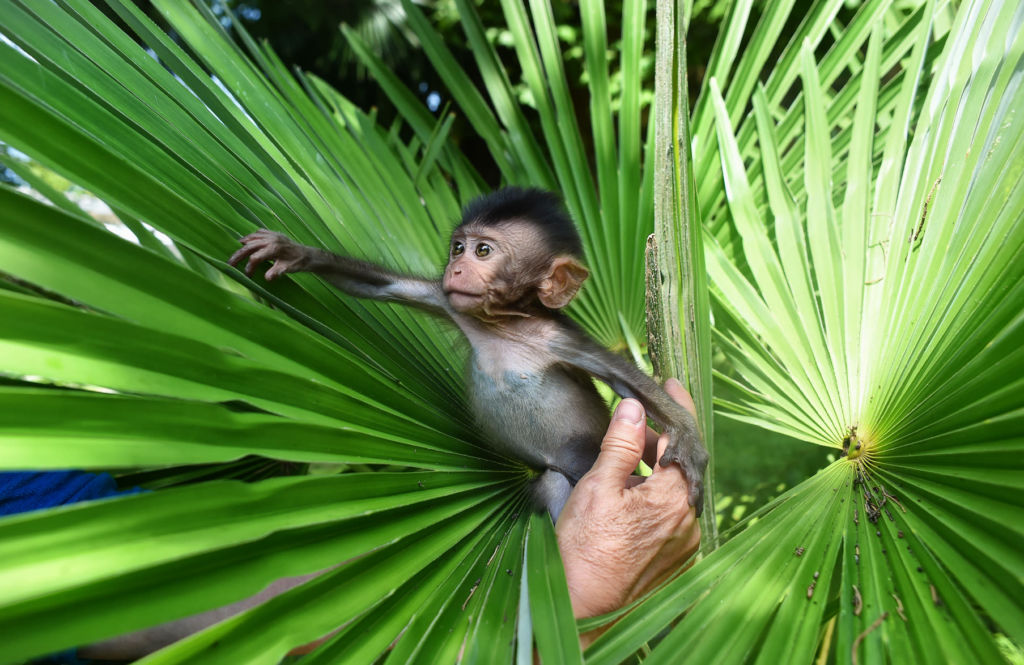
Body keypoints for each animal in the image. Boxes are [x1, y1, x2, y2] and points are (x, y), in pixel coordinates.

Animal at [229, 187, 707, 520]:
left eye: (483, 251)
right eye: (458, 247)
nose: (456, 268)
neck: (505, 326)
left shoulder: (559, 338)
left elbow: (629, 383)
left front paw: (689, 443)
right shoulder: (450, 302)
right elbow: (382, 286)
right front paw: (294, 253)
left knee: (557, 484)